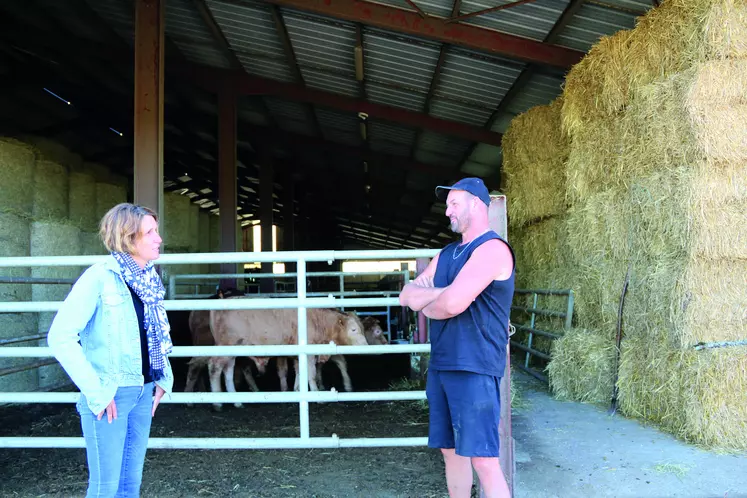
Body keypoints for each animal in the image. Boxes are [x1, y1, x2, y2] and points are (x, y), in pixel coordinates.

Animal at [206, 310, 370, 410]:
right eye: (353, 329)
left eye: (363, 328)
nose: (366, 346)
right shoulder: (309, 354)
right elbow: (310, 374)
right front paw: (316, 395)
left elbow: (299, 372)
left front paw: (297, 390)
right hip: (226, 346)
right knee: (214, 367)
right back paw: (217, 402)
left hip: (232, 352)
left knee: (228, 371)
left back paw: (236, 401)